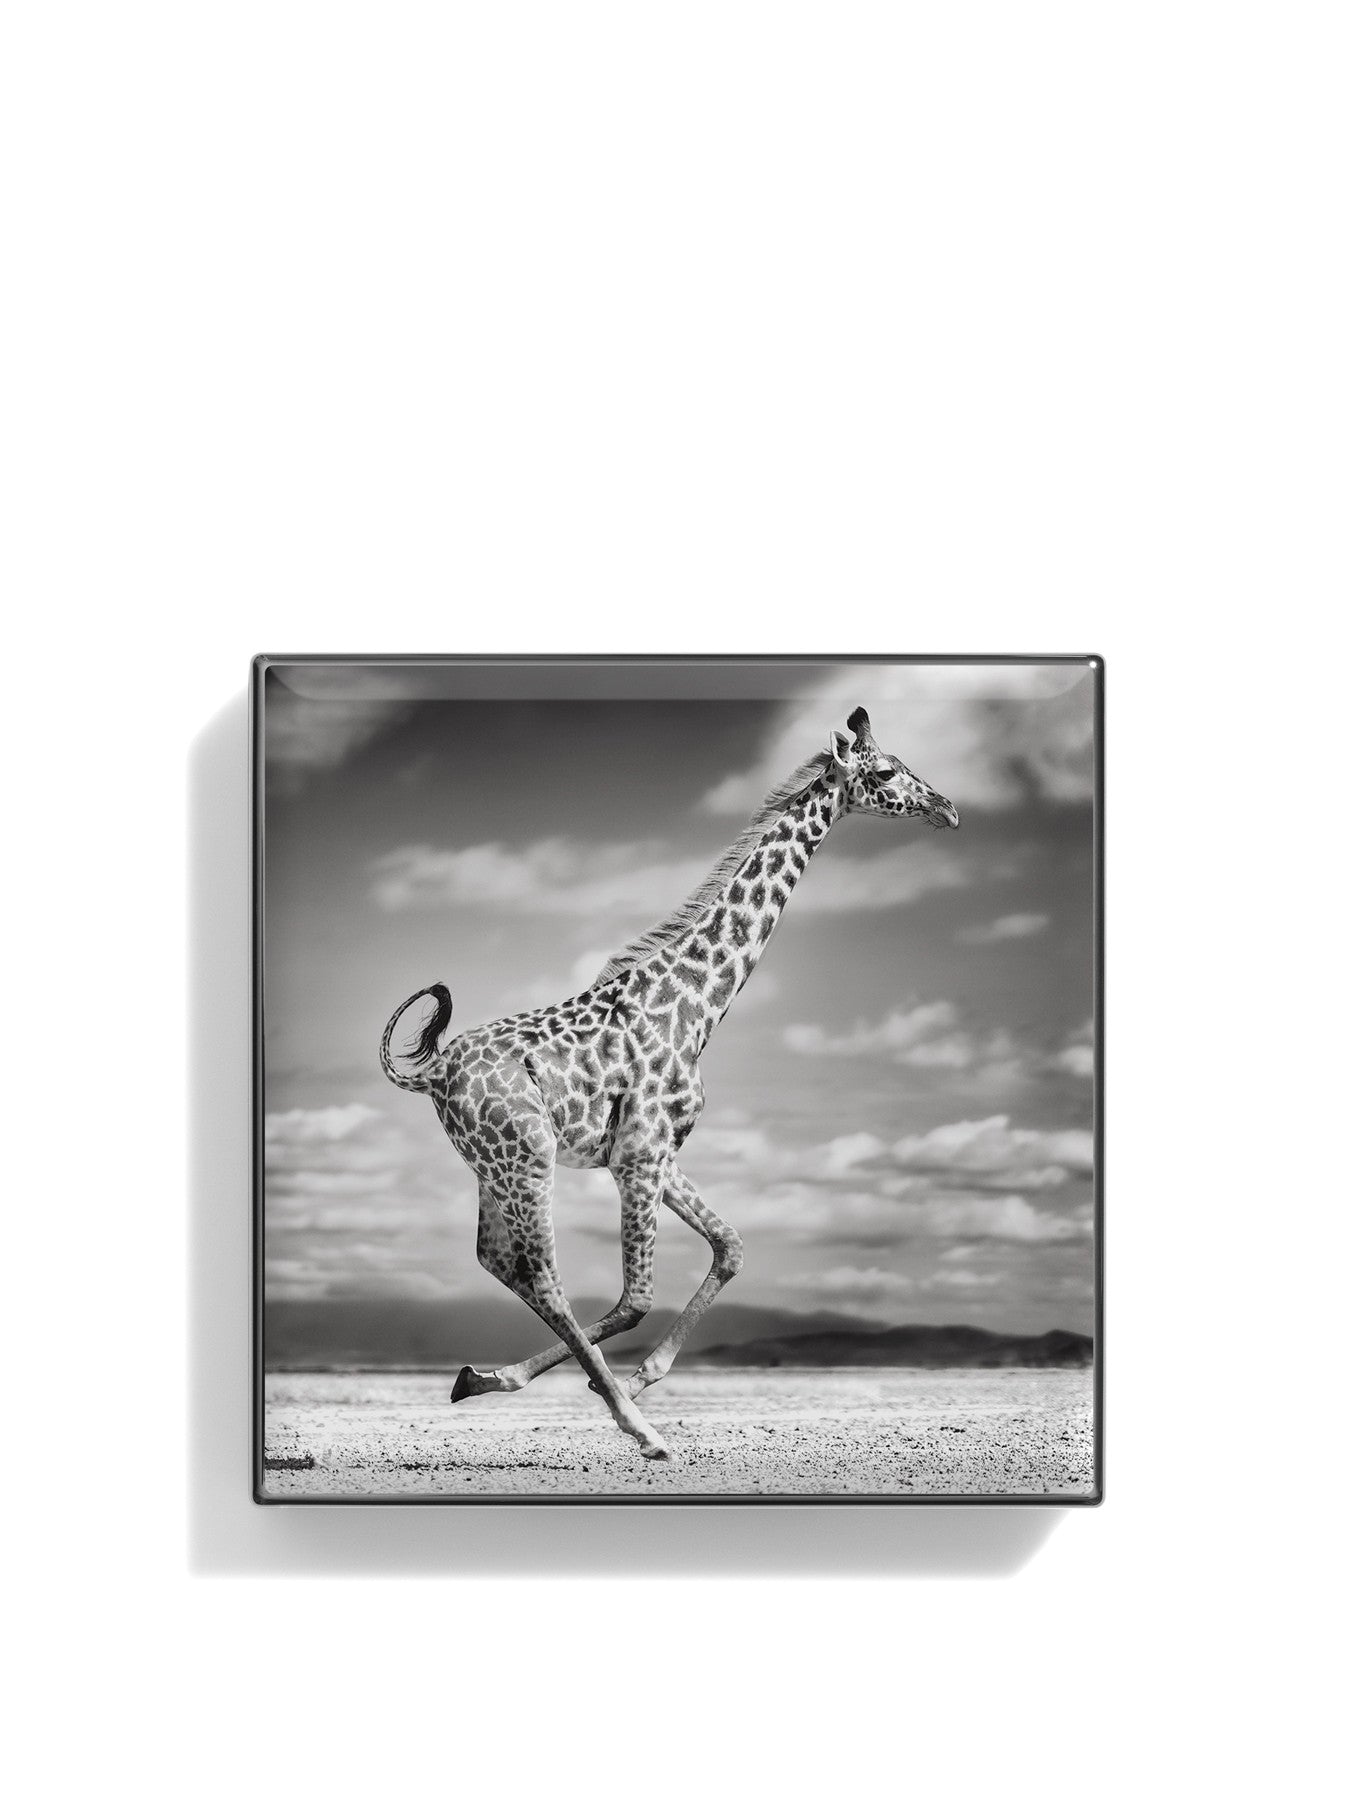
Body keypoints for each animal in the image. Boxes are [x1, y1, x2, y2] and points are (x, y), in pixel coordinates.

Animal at [379, 705, 959, 1461]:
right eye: (885, 772)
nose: (948, 808)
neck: (699, 1003)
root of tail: (433, 1073)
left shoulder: (656, 1152)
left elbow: (731, 1247)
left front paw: (632, 1376)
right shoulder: (638, 1156)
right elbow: (636, 1298)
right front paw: (627, 1395)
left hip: (492, 1166)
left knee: (498, 1261)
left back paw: (485, 1378)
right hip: (527, 1159)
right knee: (543, 1274)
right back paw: (639, 1427)